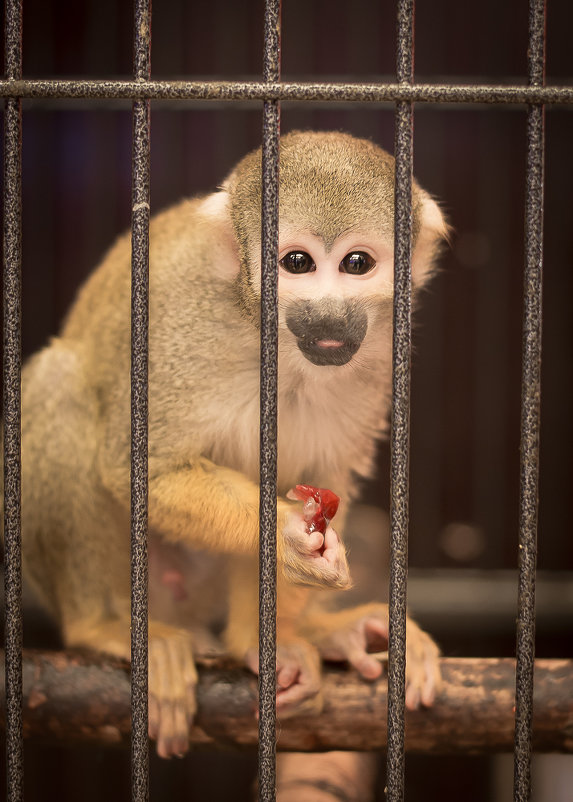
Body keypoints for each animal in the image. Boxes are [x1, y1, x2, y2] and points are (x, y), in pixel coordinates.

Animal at [14, 128, 446, 752]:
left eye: (357, 264)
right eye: (297, 263)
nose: (329, 317)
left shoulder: (378, 359)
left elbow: (318, 478)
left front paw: (269, 641)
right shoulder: (179, 330)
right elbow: (139, 468)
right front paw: (289, 536)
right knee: (61, 383)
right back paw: (103, 625)